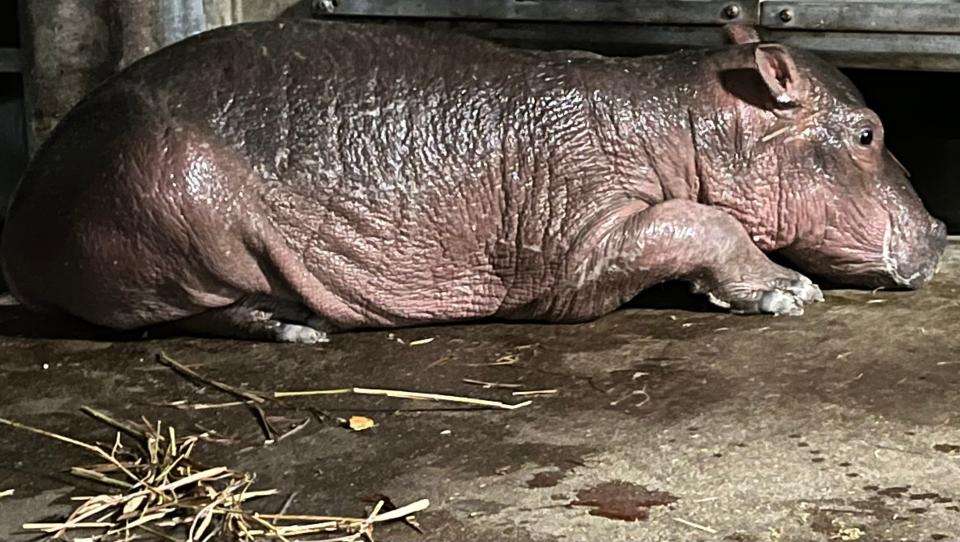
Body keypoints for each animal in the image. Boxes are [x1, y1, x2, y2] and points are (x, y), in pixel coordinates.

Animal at [0, 22, 944, 344]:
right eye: (870, 132)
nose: (940, 231)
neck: (684, 119)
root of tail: (25, 206)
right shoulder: (582, 239)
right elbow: (698, 222)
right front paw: (790, 293)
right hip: (174, 211)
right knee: (179, 314)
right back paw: (298, 328)